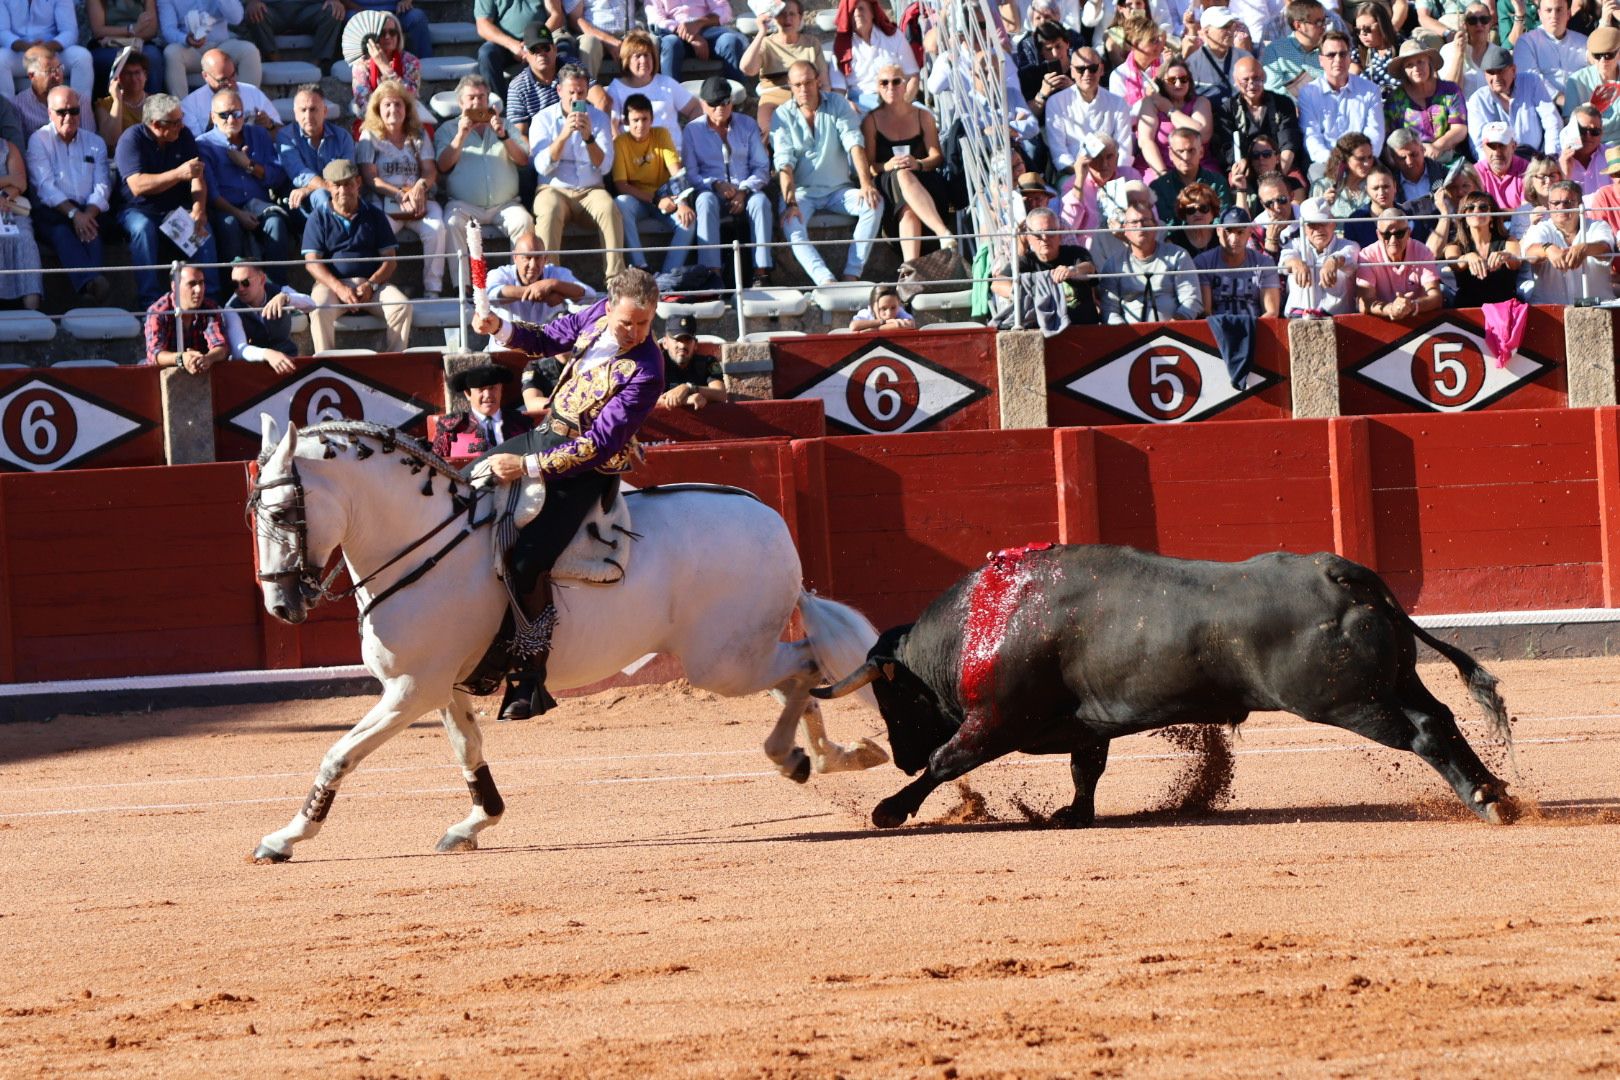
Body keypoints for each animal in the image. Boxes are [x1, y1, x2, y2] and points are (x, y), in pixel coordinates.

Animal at [247, 417, 894, 861]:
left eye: (279, 515)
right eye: (253, 515)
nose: (281, 606)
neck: (423, 542)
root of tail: (771, 519)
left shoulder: (409, 690)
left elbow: (338, 754)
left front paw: (284, 838)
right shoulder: (442, 689)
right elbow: (468, 751)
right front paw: (475, 822)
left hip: (723, 663)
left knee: (806, 664)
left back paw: (810, 756)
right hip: (740, 653)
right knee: (798, 678)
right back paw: (825, 757)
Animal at [810, 544, 1516, 835]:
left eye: (892, 697)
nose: (898, 756)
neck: (982, 625)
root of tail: (1341, 572)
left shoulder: (997, 721)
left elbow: (948, 759)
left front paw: (889, 810)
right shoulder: (1083, 725)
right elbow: (1086, 769)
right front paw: (1073, 815)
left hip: (1348, 701)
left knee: (1424, 731)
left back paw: (1485, 800)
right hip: (1393, 681)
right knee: (1443, 716)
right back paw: (1498, 791)